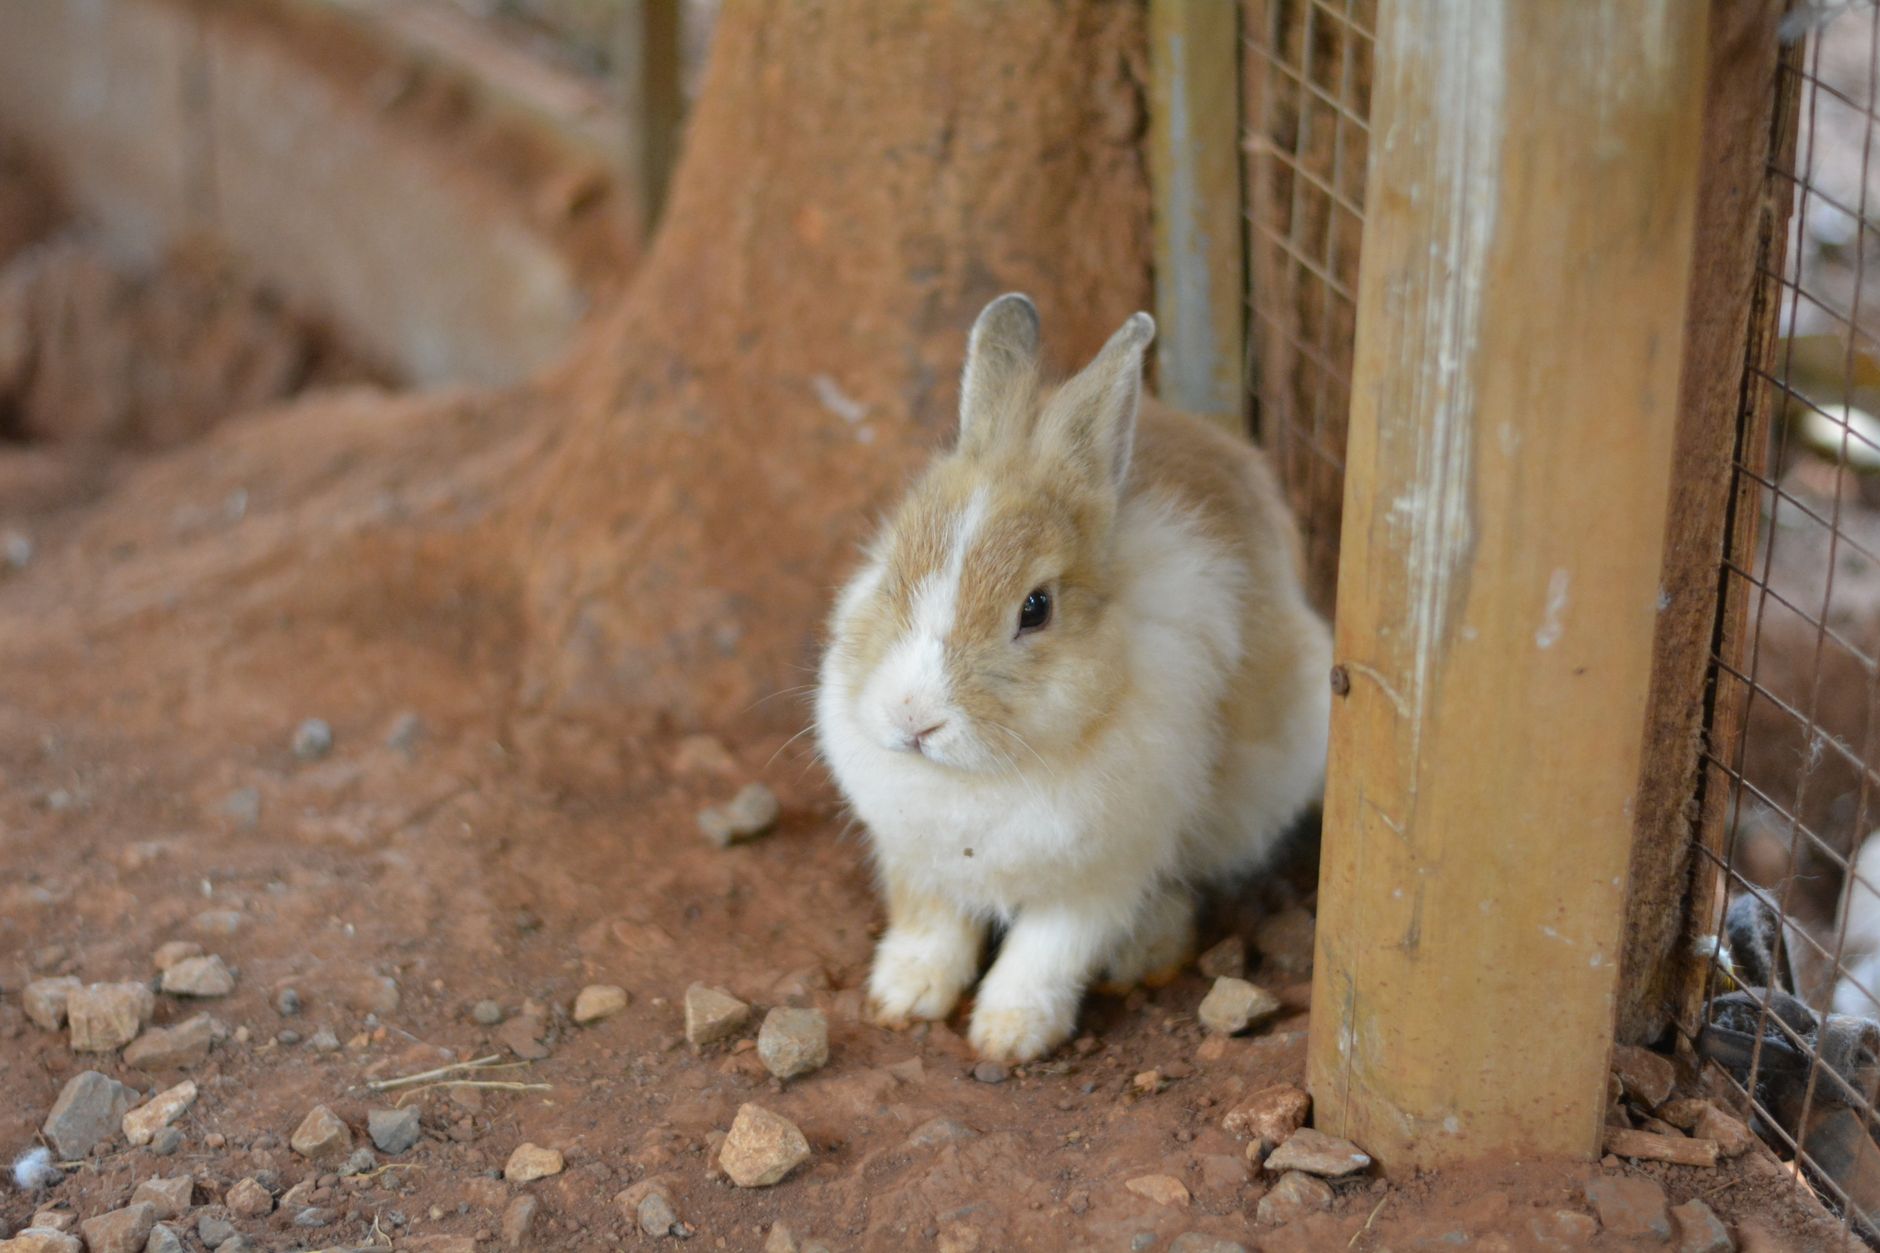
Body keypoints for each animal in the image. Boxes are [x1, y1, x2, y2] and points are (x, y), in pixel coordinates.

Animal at [815, 293, 1332, 1063]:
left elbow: (1046, 951)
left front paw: (1008, 1034)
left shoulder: (1100, 874)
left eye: (1036, 608)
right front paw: (903, 996)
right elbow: (931, 927)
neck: (980, 778)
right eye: (892, 570)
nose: (913, 719)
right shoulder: (920, 860)